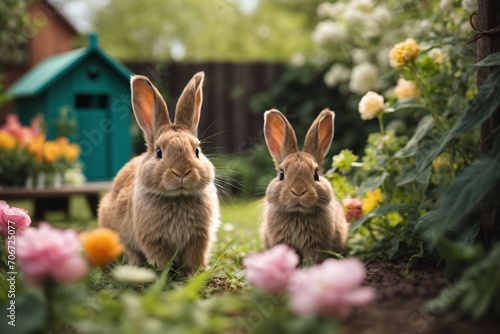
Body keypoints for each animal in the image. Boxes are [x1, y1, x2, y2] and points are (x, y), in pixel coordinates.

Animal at [98, 72, 220, 274]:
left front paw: (196, 272)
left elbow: (194, 257)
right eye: (159, 152)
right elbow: (161, 258)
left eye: (197, 151)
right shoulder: (153, 240)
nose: (182, 172)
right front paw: (165, 273)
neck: (178, 197)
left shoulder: (199, 238)